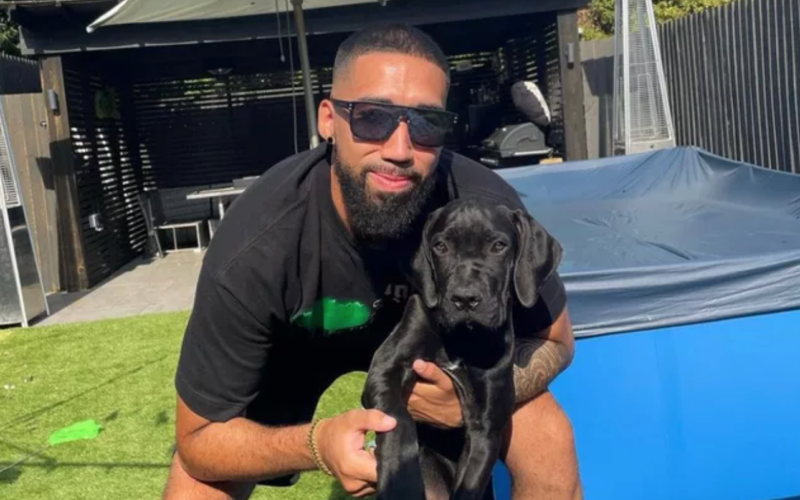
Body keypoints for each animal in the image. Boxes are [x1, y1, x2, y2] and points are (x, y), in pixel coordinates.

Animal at [362, 196, 563, 500]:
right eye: (440, 246)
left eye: (499, 246)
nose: (465, 299)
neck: (463, 338)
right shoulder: (387, 367)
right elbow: (399, 422)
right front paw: (401, 485)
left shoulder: (486, 428)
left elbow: (470, 482)